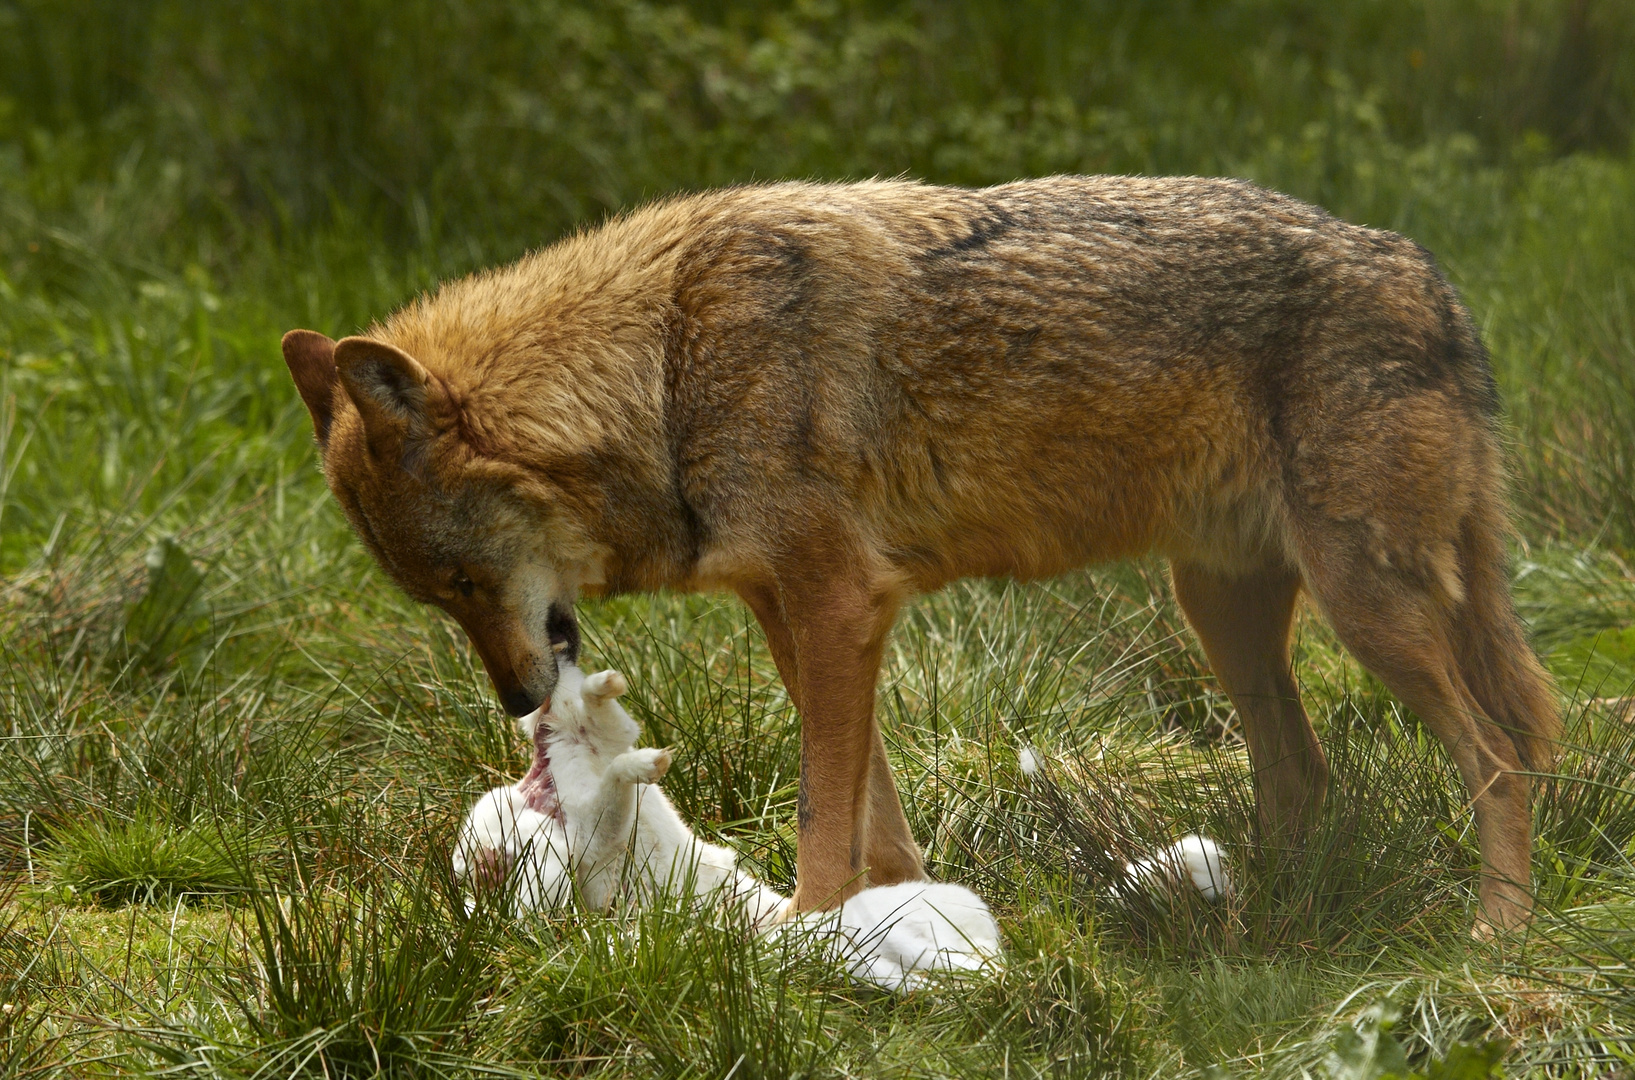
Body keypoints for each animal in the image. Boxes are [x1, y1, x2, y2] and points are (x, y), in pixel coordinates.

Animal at [281, 172, 1556, 928]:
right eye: (438, 603)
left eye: (461, 580)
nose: (514, 701)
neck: (665, 368)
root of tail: (1435, 283)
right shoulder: (796, 620)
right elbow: (873, 811)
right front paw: (889, 922)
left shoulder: (840, 606)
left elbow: (819, 808)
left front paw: (807, 938)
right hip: (1226, 615)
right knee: (1307, 773)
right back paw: (1259, 924)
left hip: (1365, 612)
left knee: (1499, 755)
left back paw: (1493, 935)